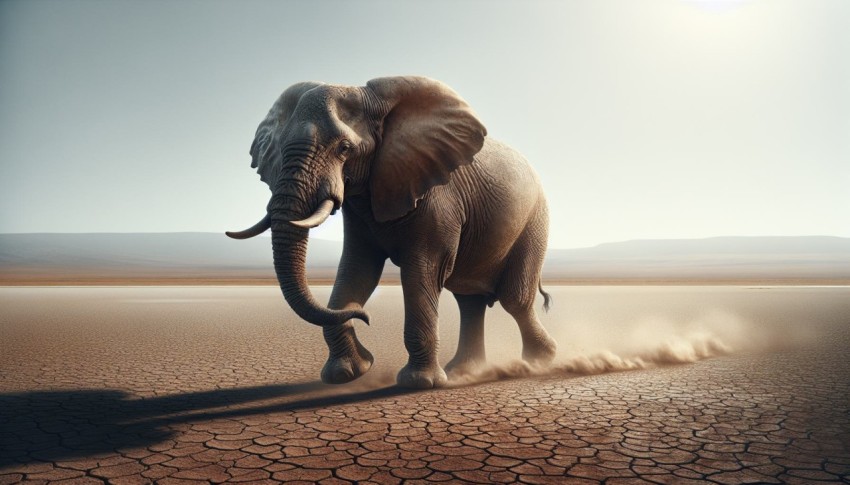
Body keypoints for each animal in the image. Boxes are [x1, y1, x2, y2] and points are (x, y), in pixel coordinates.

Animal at [227, 76, 556, 389]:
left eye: (344, 149)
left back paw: (540, 362)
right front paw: (348, 372)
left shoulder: (437, 195)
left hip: (535, 220)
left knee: (514, 299)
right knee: (470, 302)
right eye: (281, 149)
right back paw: (463, 372)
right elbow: (357, 269)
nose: (364, 316)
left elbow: (422, 271)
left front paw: (419, 383)